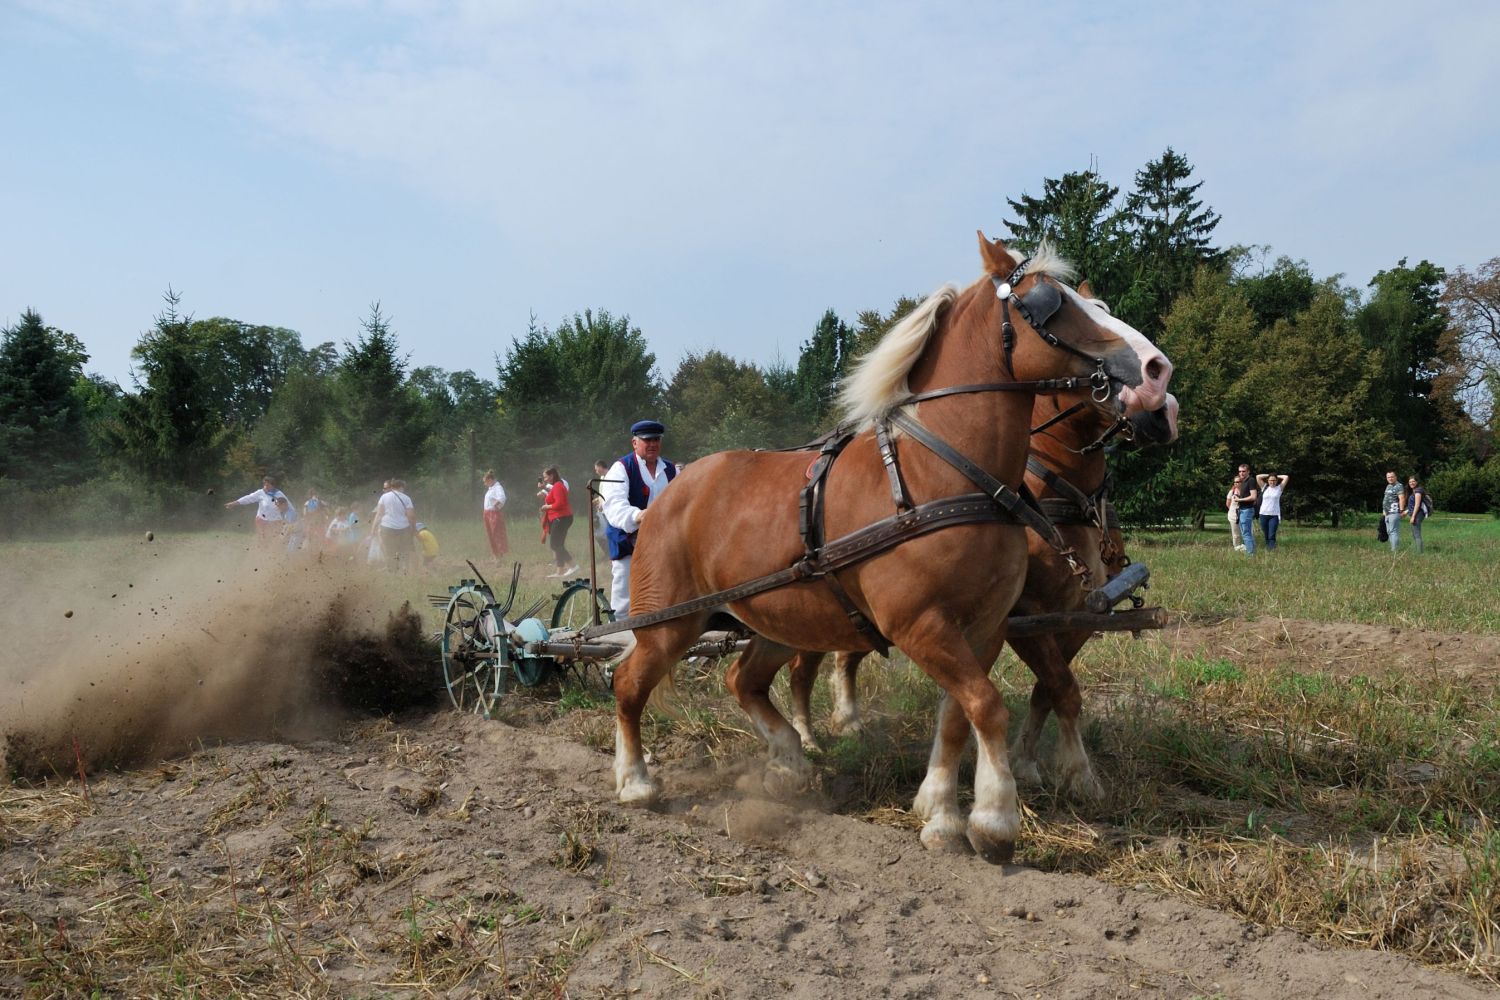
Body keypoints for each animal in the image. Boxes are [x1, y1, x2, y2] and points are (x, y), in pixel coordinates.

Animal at [786, 386, 1182, 809]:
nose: (1167, 414)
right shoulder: (1023, 613)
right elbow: (1061, 686)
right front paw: (1077, 774)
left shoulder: (1076, 615)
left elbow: (1048, 689)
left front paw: (1026, 762)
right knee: (802, 669)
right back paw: (807, 737)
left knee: (846, 656)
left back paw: (847, 722)